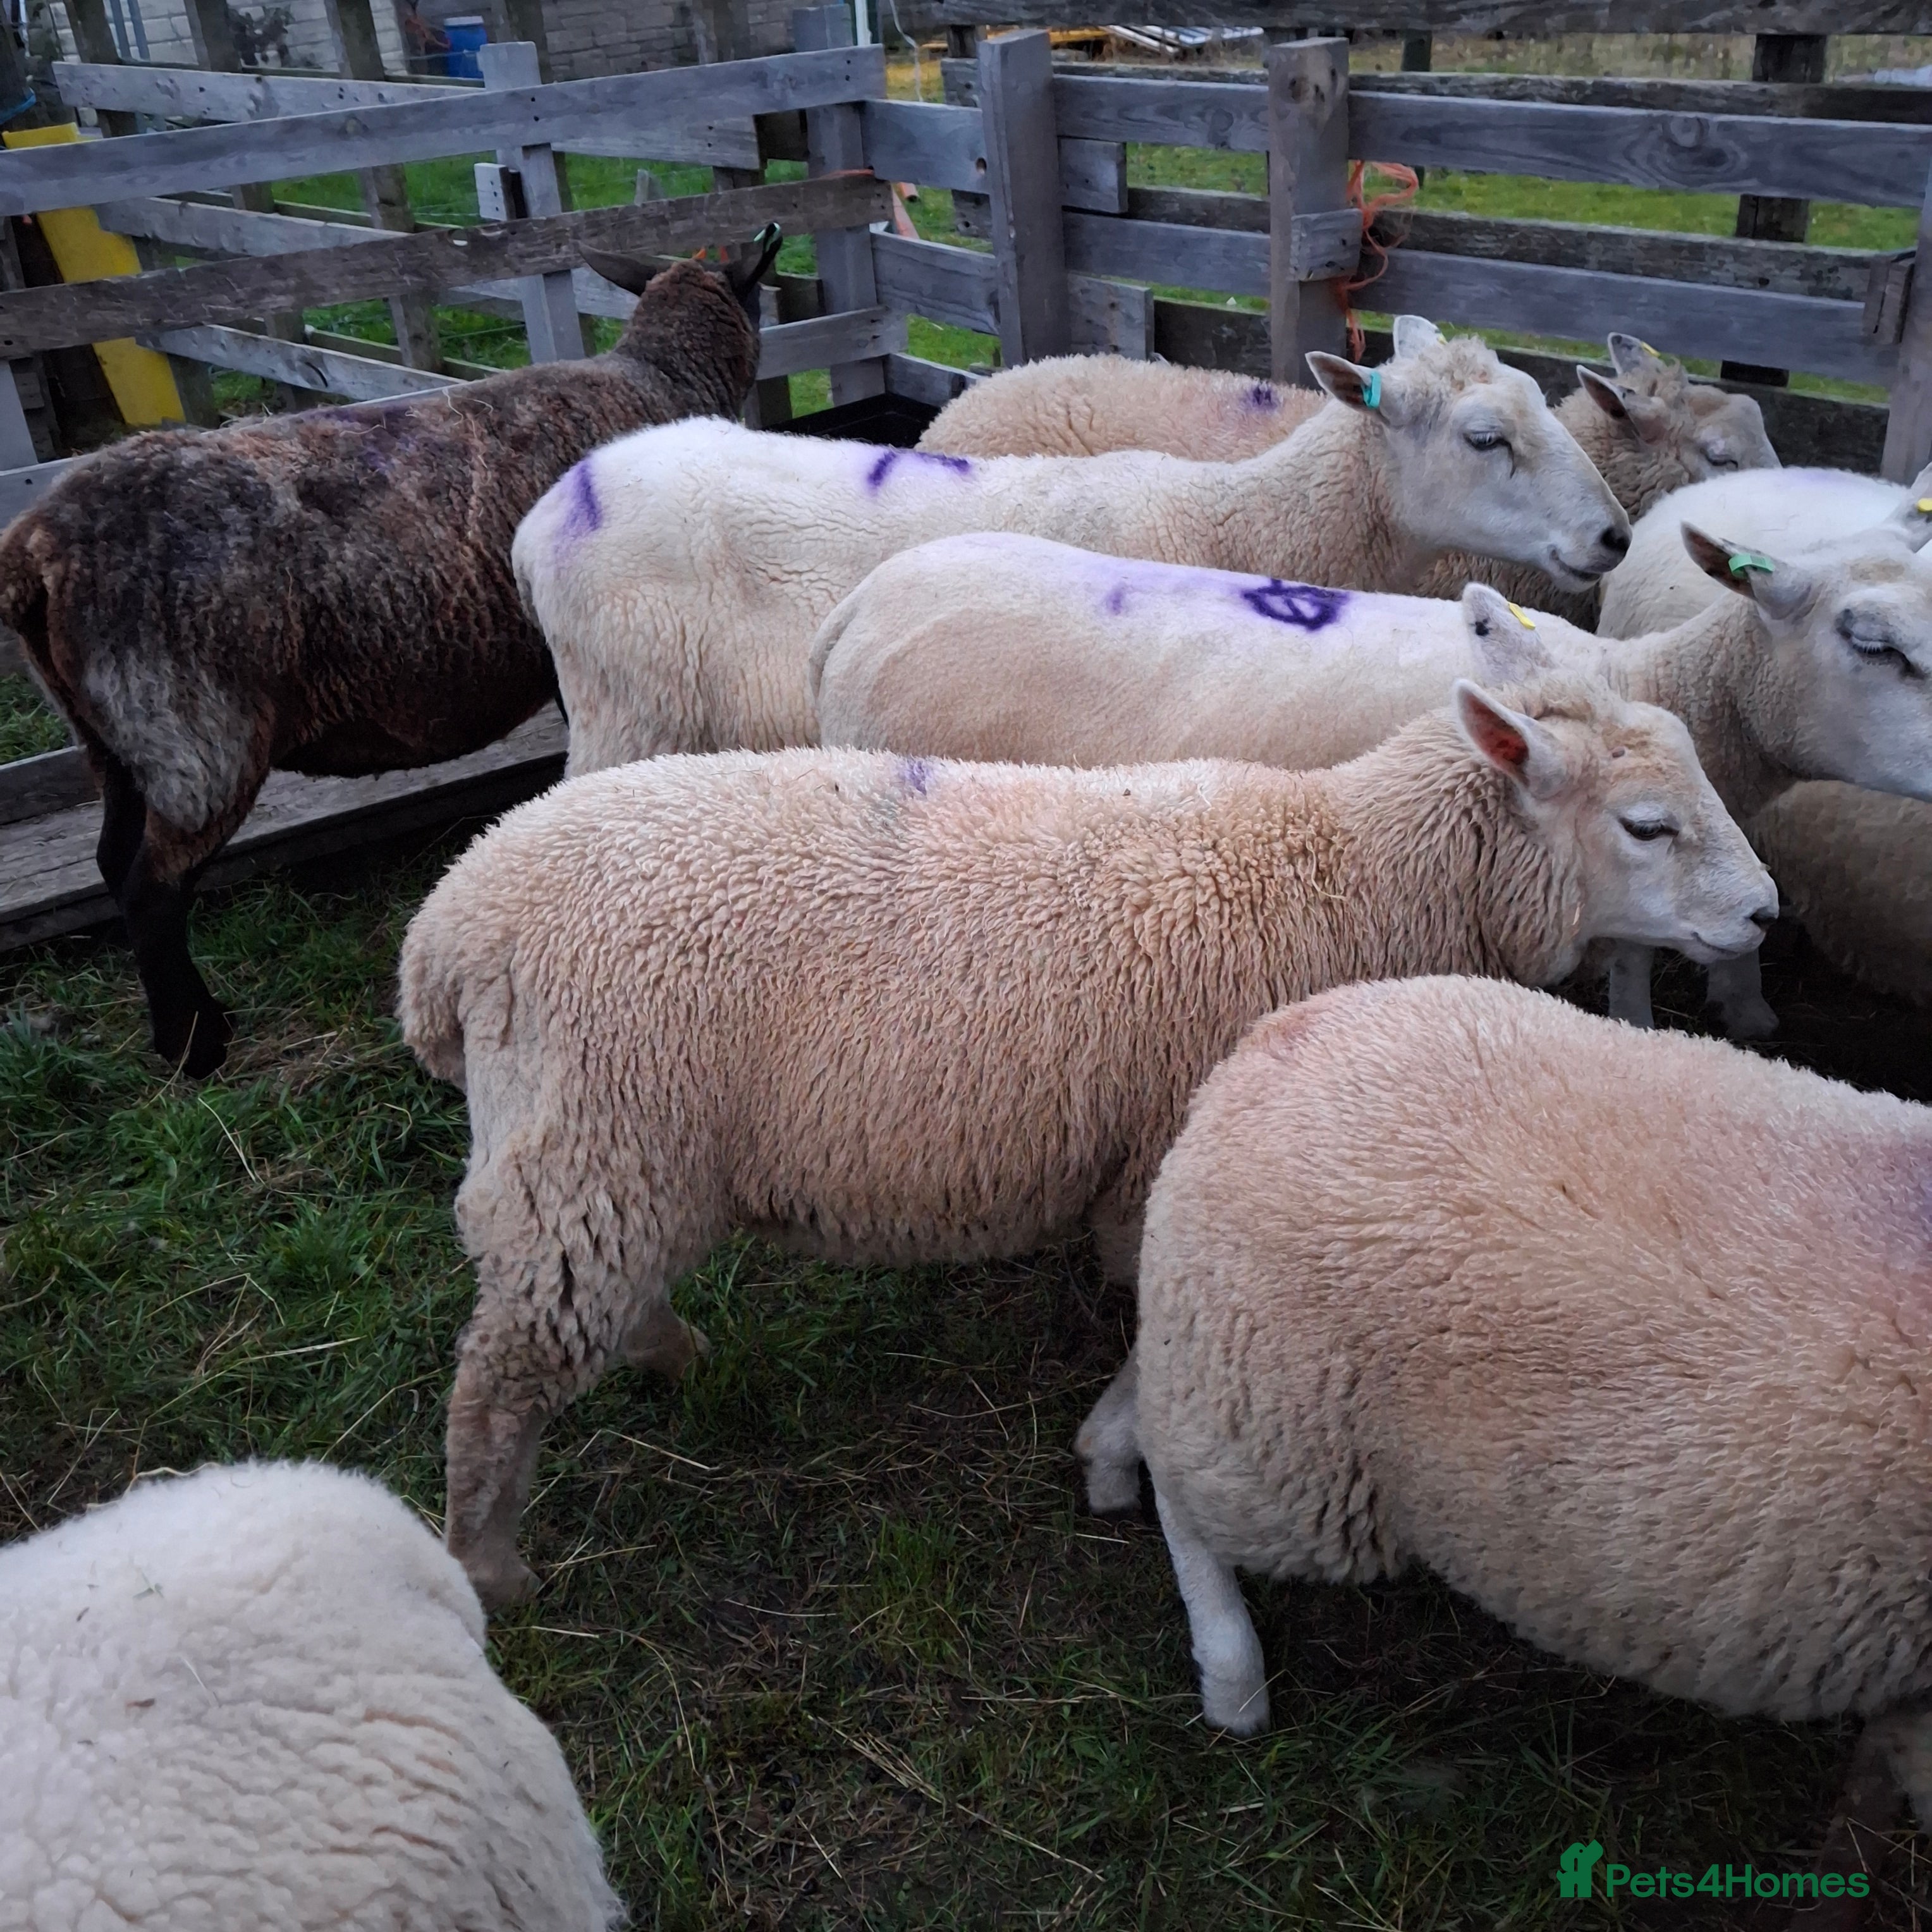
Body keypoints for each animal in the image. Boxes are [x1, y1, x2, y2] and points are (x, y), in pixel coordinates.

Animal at [0, 230, 783, 1079]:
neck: (657, 381)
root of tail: (33, 551)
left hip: (110, 736)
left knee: (112, 860)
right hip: (191, 730)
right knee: (153, 886)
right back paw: (195, 1046)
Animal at [397, 671, 1773, 1609]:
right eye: (1647, 825)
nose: (1768, 915)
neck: (1353, 874)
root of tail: (449, 928)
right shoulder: (1165, 1156)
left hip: (604, 1154)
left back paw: (672, 1355)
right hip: (595, 1132)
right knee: (499, 1380)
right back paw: (489, 1564)